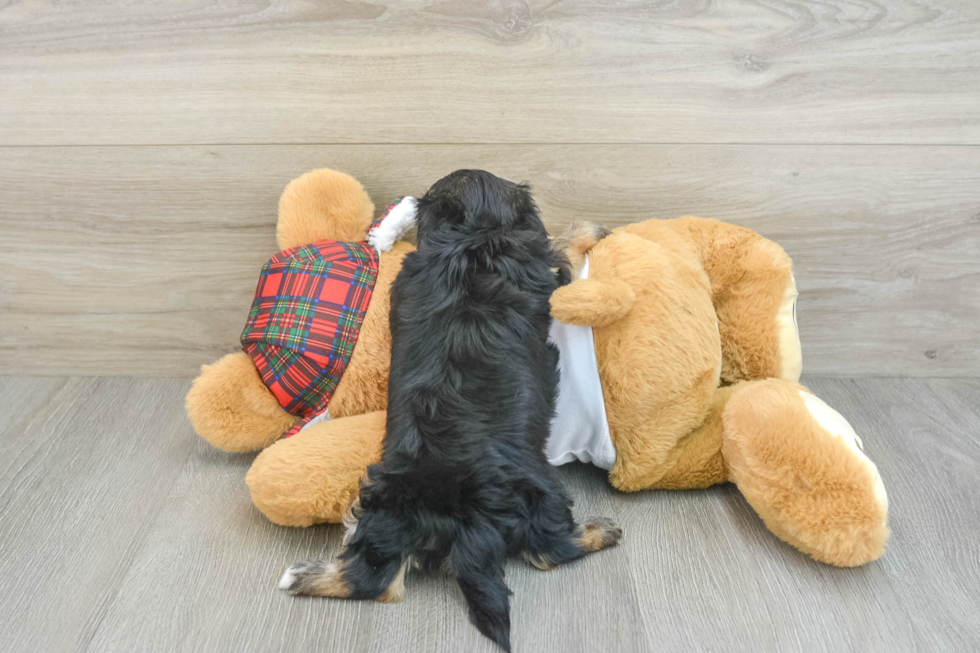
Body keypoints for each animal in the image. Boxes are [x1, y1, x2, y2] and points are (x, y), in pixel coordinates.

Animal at [280, 171, 624, 648]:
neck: (471, 236)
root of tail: (459, 522)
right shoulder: (542, 266)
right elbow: (560, 242)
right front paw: (593, 230)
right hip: (542, 492)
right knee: (548, 552)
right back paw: (602, 531)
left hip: (382, 502)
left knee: (375, 580)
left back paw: (301, 576)